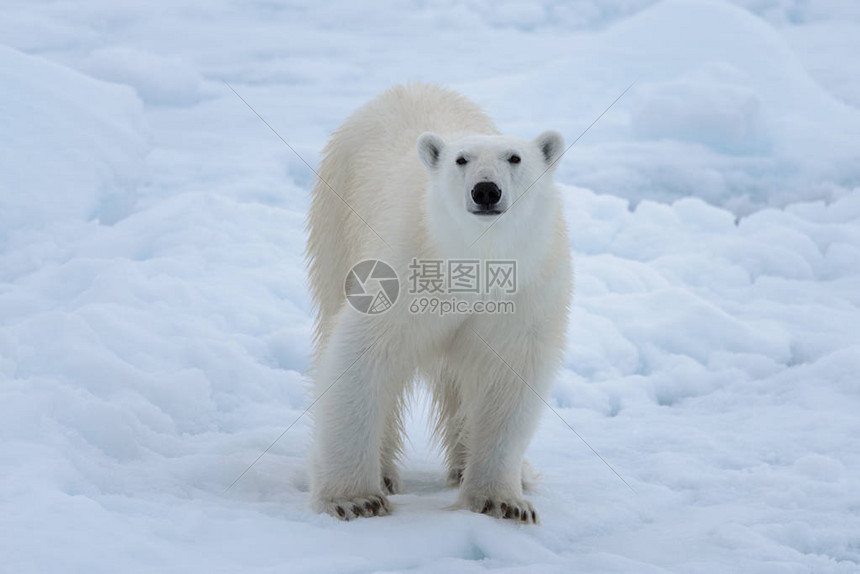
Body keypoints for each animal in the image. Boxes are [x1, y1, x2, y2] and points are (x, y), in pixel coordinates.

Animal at [304, 83, 572, 524]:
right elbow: (361, 358)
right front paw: (355, 499)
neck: (471, 259)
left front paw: (504, 502)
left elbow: (508, 378)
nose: (486, 190)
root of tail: (407, 86)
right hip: (336, 218)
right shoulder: (403, 269)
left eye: (514, 157)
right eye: (461, 159)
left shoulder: (527, 290)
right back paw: (385, 472)